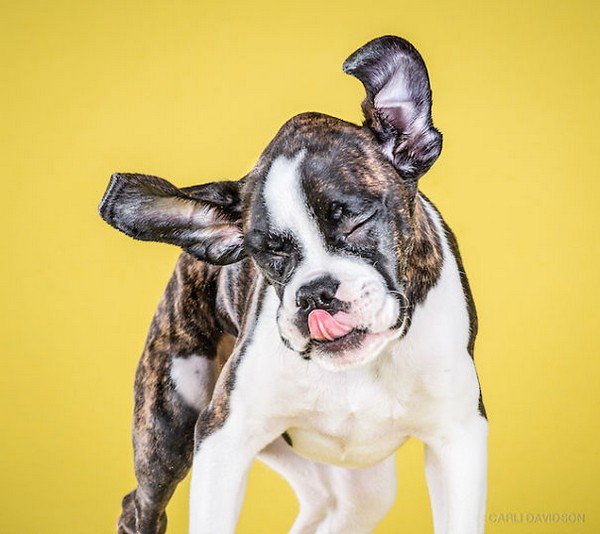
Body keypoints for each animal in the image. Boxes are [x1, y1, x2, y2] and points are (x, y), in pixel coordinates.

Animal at [99, 35, 488, 532]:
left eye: (356, 220)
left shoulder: (459, 440)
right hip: (170, 428)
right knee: (141, 503)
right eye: (269, 253)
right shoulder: (223, 438)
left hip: (359, 492)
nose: (315, 293)